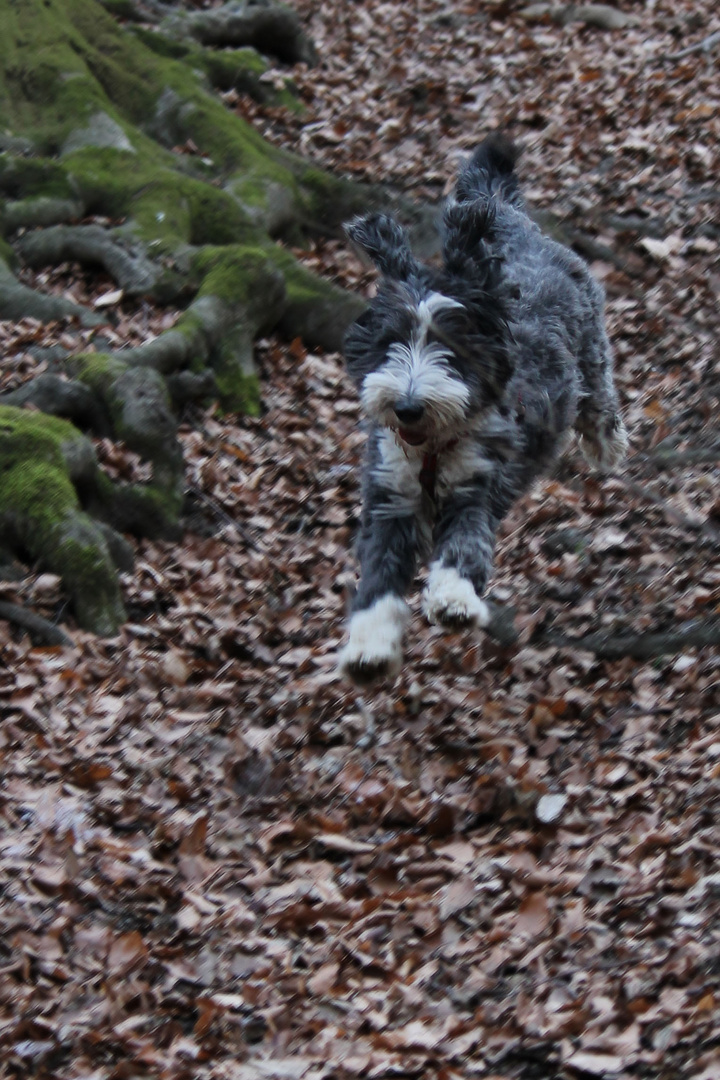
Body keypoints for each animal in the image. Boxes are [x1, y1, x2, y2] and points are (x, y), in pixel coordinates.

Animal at [338, 135, 626, 682]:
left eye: (451, 347)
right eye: (390, 343)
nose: (407, 407)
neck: (433, 449)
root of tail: (509, 217)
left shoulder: (477, 486)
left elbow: (464, 546)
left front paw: (453, 598)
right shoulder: (390, 497)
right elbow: (378, 577)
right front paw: (368, 646)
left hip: (592, 340)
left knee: (599, 394)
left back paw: (606, 443)